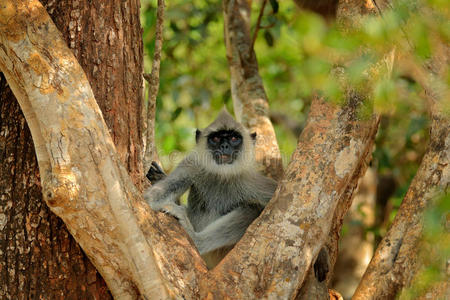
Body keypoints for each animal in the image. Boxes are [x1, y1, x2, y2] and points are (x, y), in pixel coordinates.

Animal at [144, 109, 278, 268]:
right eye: (216, 138)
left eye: (234, 138)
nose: (224, 146)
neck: (222, 175)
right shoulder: (192, 164)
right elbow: (152, 198)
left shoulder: (254, 183)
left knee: (252, 209)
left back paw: (195, 239)